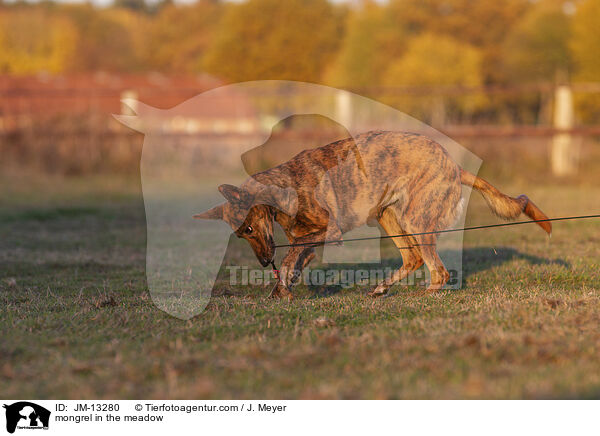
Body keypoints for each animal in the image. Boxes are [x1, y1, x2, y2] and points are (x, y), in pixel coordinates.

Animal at [195, 130, 552, 300]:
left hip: (414, 221)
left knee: (438, 271)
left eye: (250, 229)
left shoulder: (328, 232)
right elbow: (295, 261)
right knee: (413, 259)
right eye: (241, 233)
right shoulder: (309, 242)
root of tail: (454, 165)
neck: (283, 188)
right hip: (387, 217)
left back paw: (425, 293)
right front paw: (281, 290)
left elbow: (290, 257)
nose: (262, 262)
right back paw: (382, 289)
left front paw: (280, 283)